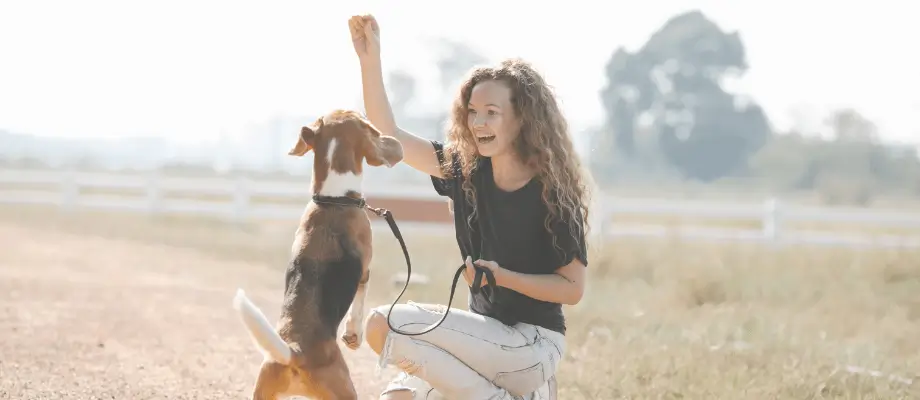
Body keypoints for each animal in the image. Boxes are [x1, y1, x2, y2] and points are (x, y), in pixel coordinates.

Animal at [232, 109, 400, 400]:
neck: (333, 198)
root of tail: (294, 350)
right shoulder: (365, 270)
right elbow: (358, 306)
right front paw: (353, 336)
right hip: (346, 391)